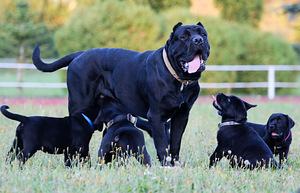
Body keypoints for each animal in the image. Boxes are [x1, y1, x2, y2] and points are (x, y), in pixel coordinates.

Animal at [31, 22, 210, 164]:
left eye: (203, 34)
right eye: (184, 36)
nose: (198, 40)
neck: (180, 80)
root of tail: (80, 54)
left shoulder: (182, 115)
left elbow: (175, 143)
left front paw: (175, 164)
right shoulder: (156, 116)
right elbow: (161, 145)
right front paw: (166, 166)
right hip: (79, 103)